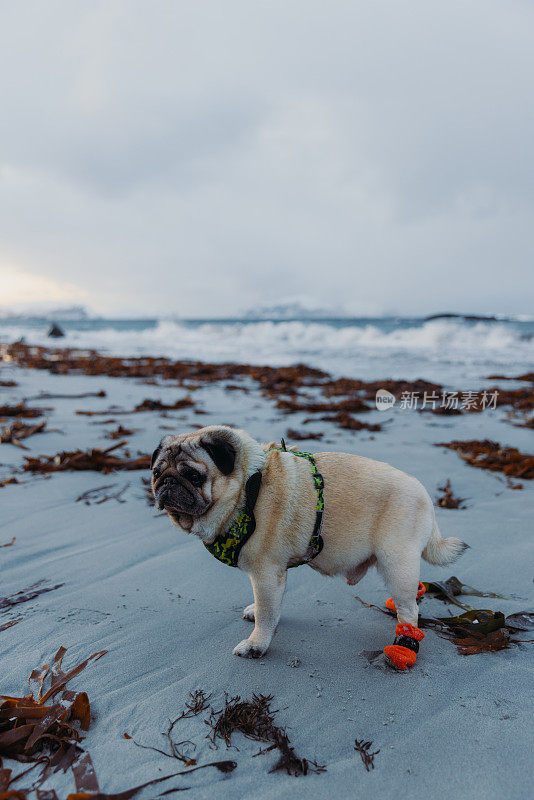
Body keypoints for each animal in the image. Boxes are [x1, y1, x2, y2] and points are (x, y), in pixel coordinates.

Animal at [152, 424, 468, 664]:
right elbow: (270, 607)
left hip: (396, 563)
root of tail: (425, 495)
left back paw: (404, 643)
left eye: (194, 476)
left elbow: (267, 613)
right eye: (156, 472)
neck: (248, 488)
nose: (167, 483)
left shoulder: (266, 573)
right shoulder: (275, 574)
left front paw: (256, 645)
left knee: (410, 609)